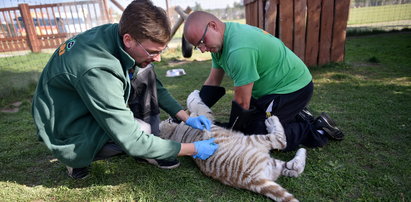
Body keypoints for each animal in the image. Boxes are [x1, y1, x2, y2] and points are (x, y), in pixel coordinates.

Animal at [159, 90, 308, 202]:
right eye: (169, 120)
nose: (172, 117)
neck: (173, 133)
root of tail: (254, 180)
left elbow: (195, 106)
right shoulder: (205, 115)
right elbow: (197, 103)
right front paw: (194, 95)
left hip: (270, 164)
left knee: (294, 168)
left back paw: (300, 154)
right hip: (256, 140)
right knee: (280, 141)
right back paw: (272, 121)